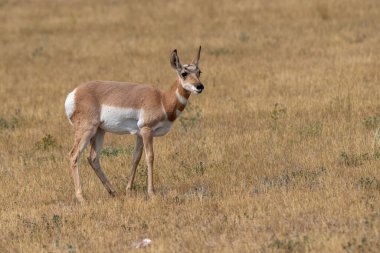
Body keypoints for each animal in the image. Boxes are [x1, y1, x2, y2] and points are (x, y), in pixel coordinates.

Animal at [63, 47, 203, 202]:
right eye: (184, 73)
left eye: (199, 72)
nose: (199, 86)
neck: (162, 100)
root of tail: (73, 94)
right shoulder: (147, 131)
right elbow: (150, 157)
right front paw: (151, 192)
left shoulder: (139, 134)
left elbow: (136, 158)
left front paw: (128, 190)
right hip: (87, 131)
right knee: (74, 155)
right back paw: (81, 198)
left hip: (99, 131)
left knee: (93, 158)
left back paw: (113, 191)